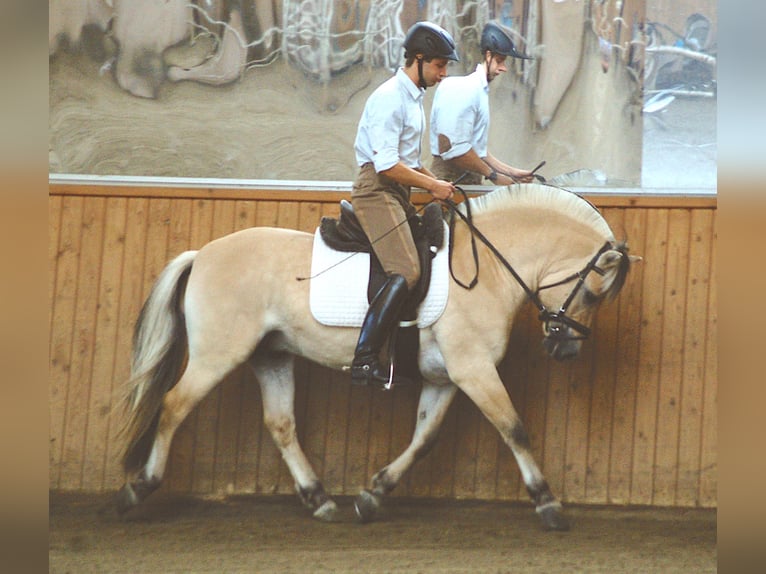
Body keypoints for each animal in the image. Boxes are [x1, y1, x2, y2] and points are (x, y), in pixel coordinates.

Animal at [117, 184, 640, 532]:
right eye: (592, 294)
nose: (565, 348)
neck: (487, 269)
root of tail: (201, 254)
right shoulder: (474, 370)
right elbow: (514, 428)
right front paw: (548, 504)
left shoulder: (445, 378)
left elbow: (424, 439)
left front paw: (372, 495)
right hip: (218, 352)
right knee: (173, 405)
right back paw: (139, 486)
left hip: (271, 355)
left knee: (281, 424)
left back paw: (319, 499)